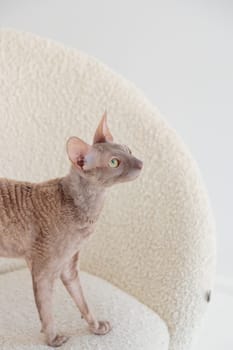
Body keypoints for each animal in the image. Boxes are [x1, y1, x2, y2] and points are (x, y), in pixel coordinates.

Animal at [0, 113, 142, 348]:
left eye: (128, 149)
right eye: (114, 162)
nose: (141, 163)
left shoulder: (68, 266)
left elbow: (82, 300)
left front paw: (95, 326)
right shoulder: (43, 269)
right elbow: (47, 310)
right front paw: (53, 338)